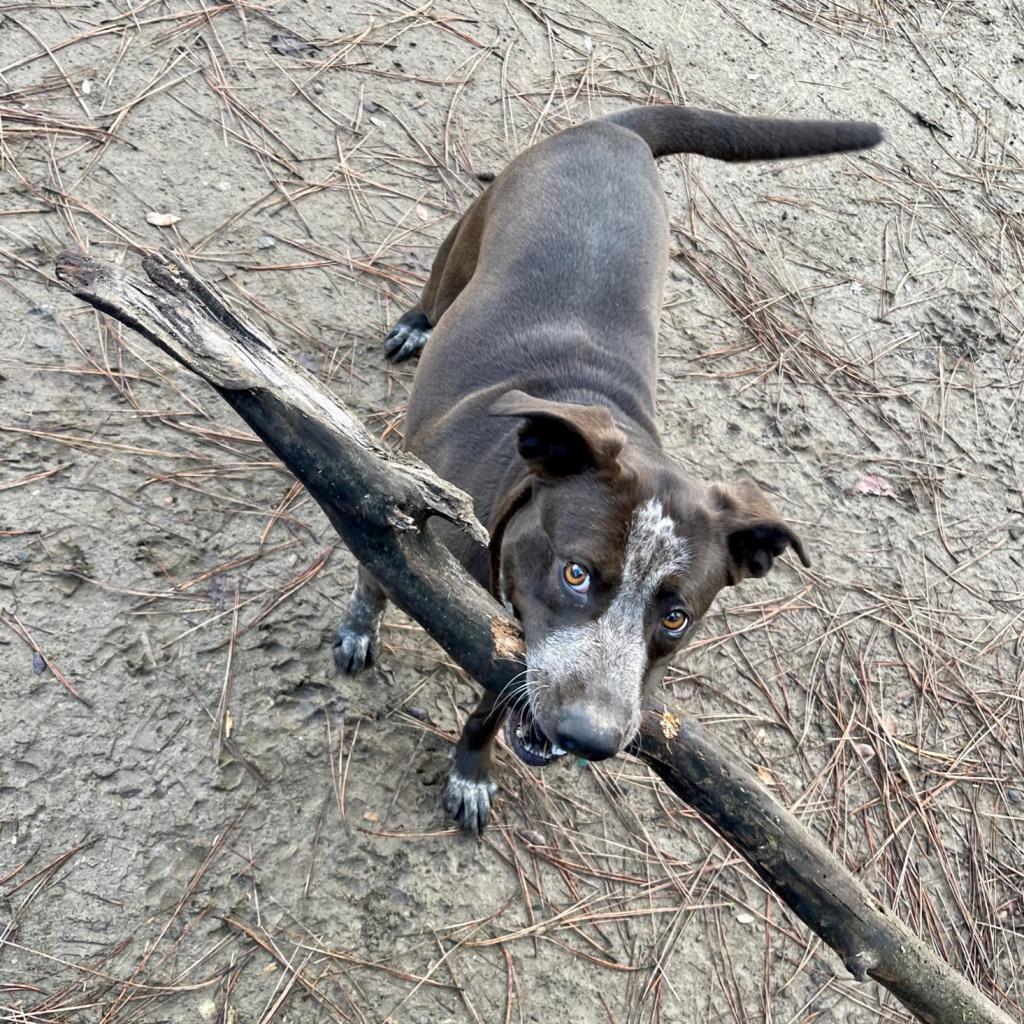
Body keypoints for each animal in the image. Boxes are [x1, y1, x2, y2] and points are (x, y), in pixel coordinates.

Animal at [333, 103, 880, 831]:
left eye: (676, 617)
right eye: (577, 573)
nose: (590, 739)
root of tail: (614, 130)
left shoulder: (514, 654)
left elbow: (492, 708)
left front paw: (471, 771)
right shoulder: (401, 527)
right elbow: (374, 578)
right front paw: (358, 631)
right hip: (470, 235)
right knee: (439, 280)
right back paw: (417, 323)